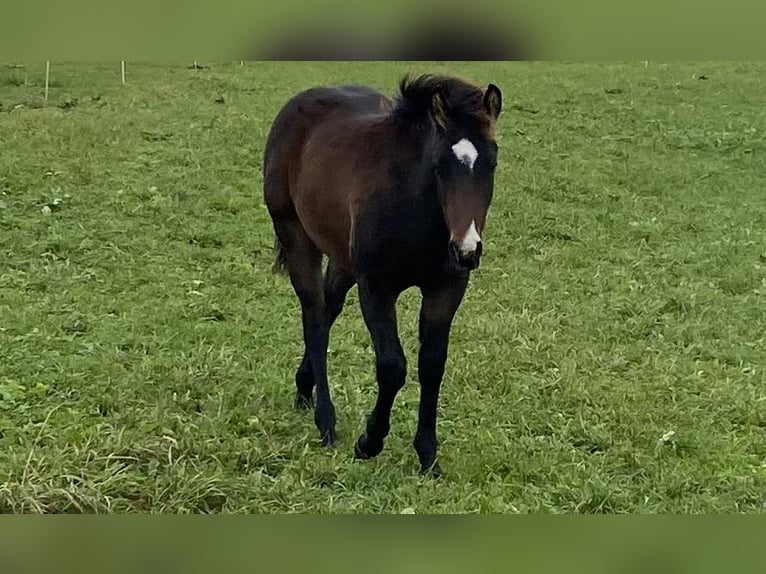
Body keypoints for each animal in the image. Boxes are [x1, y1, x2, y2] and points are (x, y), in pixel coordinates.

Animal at [264, 73, 504, 476]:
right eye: (439, 166)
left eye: (492, 165)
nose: (467, 249)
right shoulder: (376, 287)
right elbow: (392, 366)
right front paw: (369, 442)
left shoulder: (447, 287)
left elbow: (432, 365)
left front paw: (428, 455)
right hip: (296, 235)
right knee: (314, 316)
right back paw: (325, 421)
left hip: (342, 258)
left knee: (327, 309)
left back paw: (303, 388)